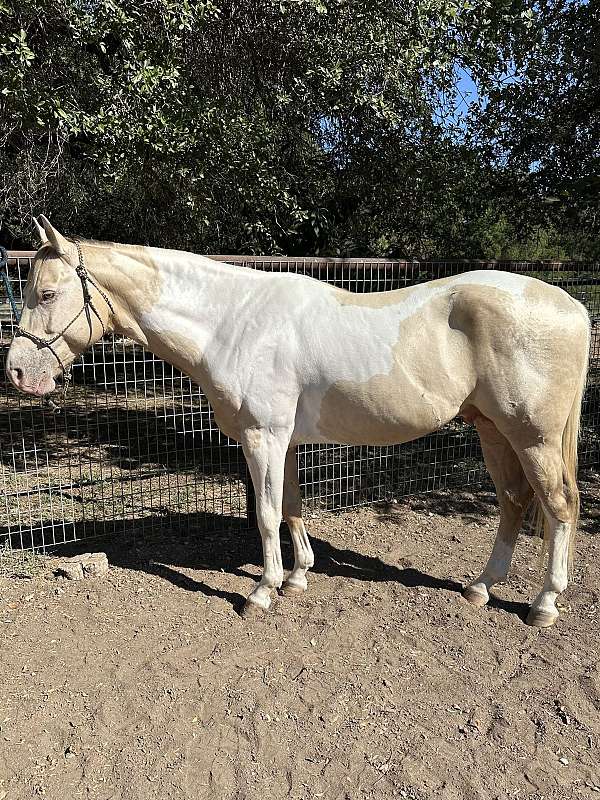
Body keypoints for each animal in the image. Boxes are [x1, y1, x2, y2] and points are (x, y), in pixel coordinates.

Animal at [5, 217, 592, 624]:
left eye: (47, 293)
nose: (15, 371)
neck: (234, 322)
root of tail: (571, 304)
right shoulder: (282, 442)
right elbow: (290, 507)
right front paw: (298, 576)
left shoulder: (262, 438)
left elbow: (266, 515)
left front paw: (262, 591)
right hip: (494, 431)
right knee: (513, 503)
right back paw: (481, 587)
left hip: (533, 437)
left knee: (559, 505)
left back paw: (543, 603)